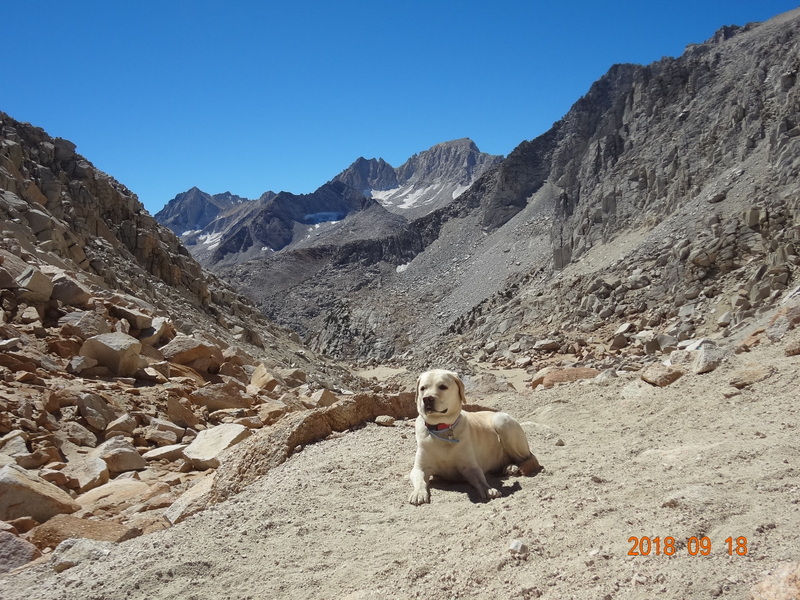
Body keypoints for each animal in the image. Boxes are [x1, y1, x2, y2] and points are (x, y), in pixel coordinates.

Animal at [410, 368, 540, 504]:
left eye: (443, 387)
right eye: (423, 388)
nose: (427, 399)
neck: (442, 427)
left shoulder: (470, 467)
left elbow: (480, 480)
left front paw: (488, 489)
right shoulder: (420, 468)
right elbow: (420, 480)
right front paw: (418, 493)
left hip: (502, 421)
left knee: (529, 458)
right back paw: (509, 466)